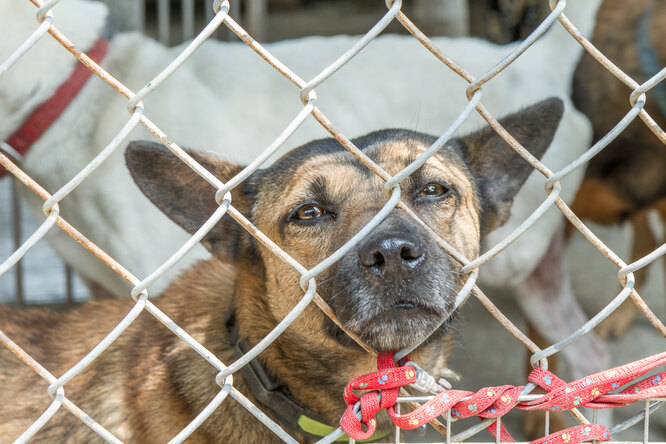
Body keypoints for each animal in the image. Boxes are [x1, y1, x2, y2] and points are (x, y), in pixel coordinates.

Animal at [0, 0, 604, 382]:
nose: (393, 254)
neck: (80, 94)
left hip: (520, 264)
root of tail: (543, 56)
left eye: (434, 189)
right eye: (308, 212)